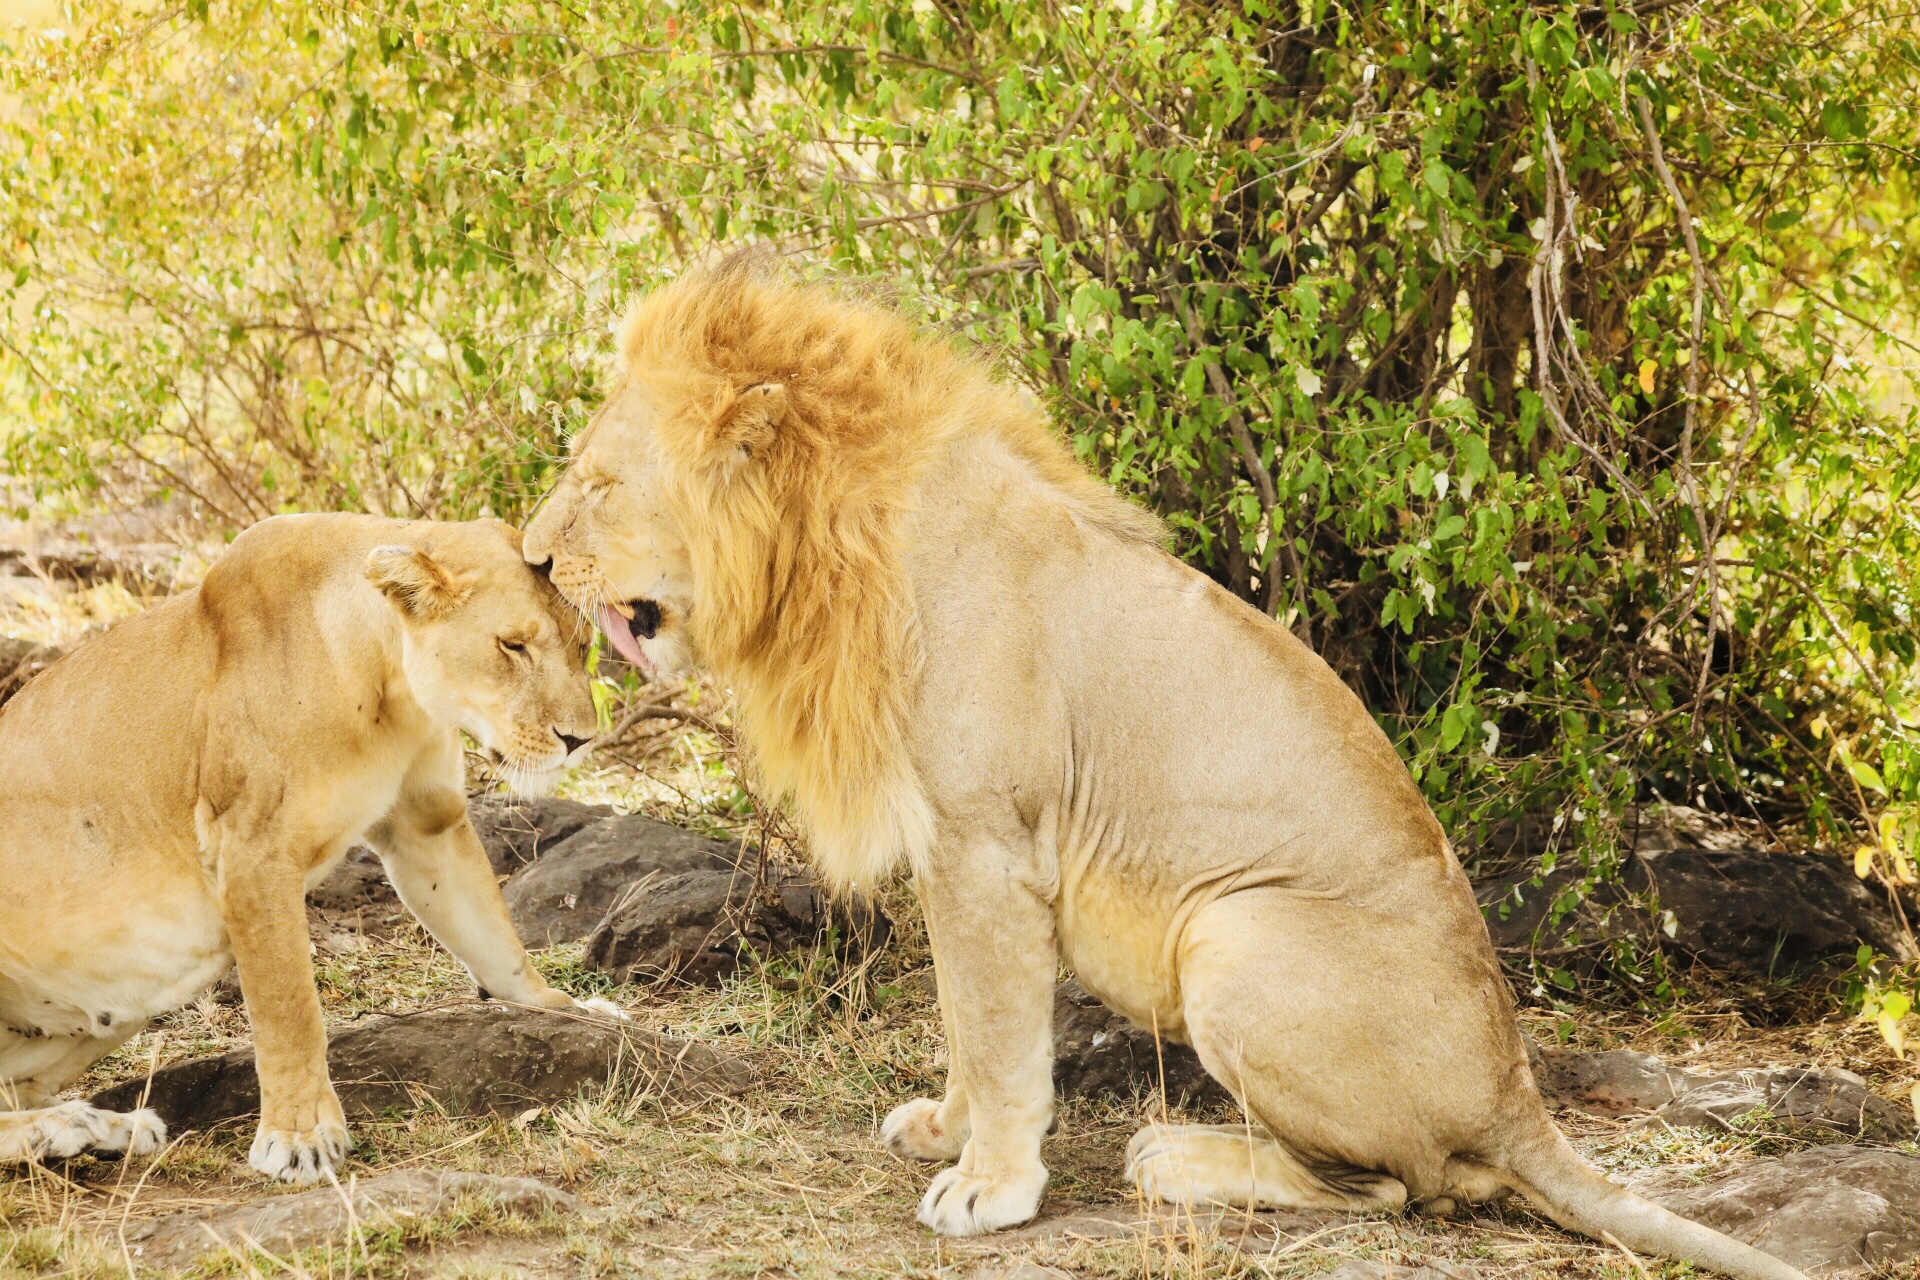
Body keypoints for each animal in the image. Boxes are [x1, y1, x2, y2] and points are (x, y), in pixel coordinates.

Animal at [1, 510, 614, 1182]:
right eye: (512, 645)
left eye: (582, 646)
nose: (580, 739)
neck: (389, 690)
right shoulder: (251, 848)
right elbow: (289, 1008)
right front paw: (299, 1138)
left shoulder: (425, 823)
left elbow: (495, 939)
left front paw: (566, 1008)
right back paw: (80, 1128)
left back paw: (100, 1129)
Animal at [522, 262, 1797, 1280]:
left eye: (599, 484)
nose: (531, 558)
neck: (833, 540)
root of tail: (1519, 1089)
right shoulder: (948, 846)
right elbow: (964, 1015)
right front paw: (948, 1127)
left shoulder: (988, 839)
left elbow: (1003, 1030)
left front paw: (992, 1186)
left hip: (1234, 939)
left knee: (1406, 1186)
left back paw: (1173, 1153)